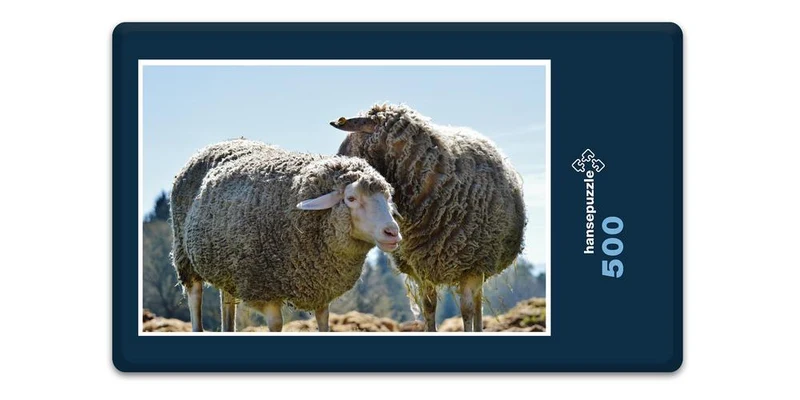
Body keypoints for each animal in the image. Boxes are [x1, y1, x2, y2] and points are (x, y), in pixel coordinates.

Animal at [169, 138, 402, 332]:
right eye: (351, 198)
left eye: (387, 198)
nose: (393, 232)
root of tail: (215, 145)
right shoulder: (264, 287)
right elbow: (276, 324)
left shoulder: (319, 287)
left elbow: (324, 320)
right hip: (184, 255)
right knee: (195, 296)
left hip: (226, 265)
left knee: (226, 301)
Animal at [330, 104, 526, 332]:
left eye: (349, 143)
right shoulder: (423, 269)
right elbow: (429, 307)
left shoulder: (472, 265)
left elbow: (466, 310)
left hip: (482, 263)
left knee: (476, 304)